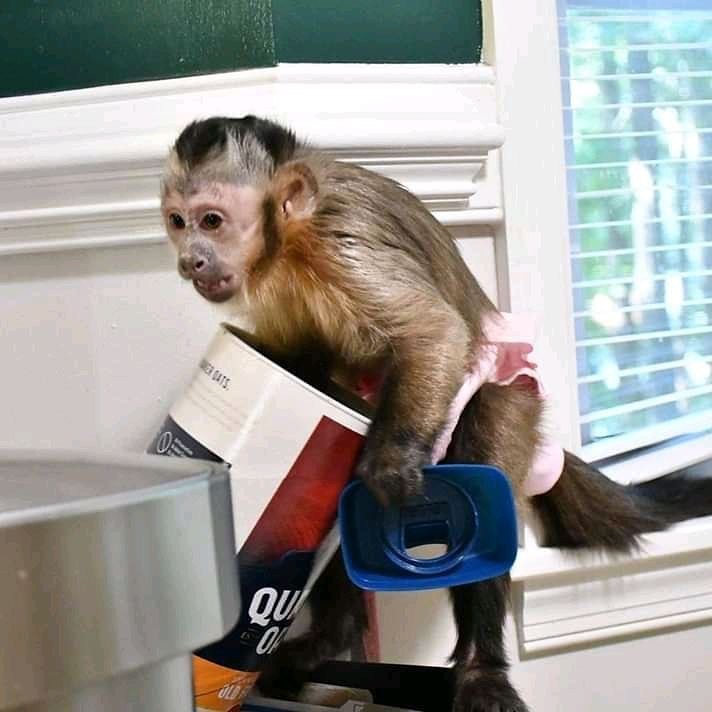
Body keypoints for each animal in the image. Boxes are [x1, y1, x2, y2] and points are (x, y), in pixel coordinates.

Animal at [160, 115, 712, 712]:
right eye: (177, 222)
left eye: (212, 221)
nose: (189, 259)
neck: (288, 245)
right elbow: (305, 369)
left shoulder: (343, 245)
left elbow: (435, 332)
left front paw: (391, 463)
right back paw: (331, 639)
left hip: (512, 400)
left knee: (487, 487)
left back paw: (481, 671)